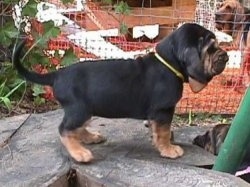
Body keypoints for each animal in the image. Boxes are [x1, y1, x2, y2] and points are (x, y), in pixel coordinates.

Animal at [13, 23, 229, 163]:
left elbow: (158, 131)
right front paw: (169, 149)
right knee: (64, 129)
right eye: (211, 49)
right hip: (79, 109)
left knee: (75, 128)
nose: (226, 56)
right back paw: (79, 153)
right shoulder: (163, 111)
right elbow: (163, 132)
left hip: (85, 110)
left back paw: (90, 138)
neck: (168, 63)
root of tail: (57, 75)